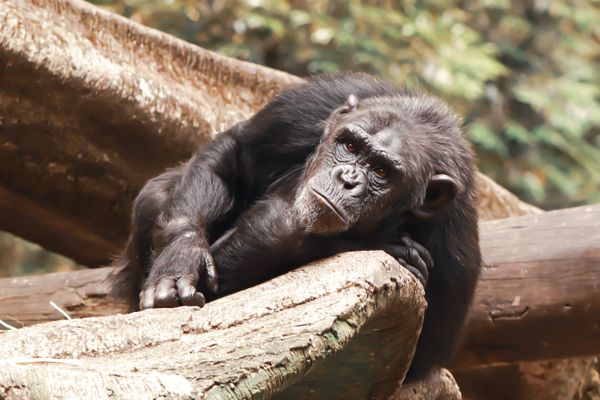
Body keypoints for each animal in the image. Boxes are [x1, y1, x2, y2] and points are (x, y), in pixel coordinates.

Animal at [118, 73, 482, 382]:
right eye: (350, 146)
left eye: (381, 171)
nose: (348, 178)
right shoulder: (303, 110)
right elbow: (235, 154)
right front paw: (181, 258)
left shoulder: (455, 264)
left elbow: (410, 366)